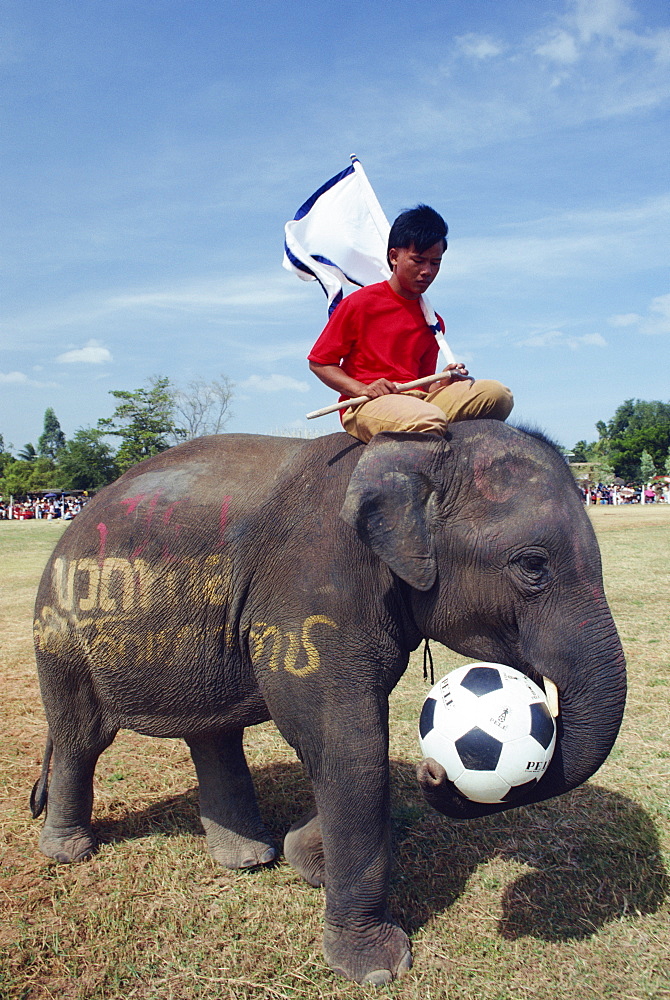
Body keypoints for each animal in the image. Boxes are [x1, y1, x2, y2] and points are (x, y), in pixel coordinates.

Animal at [30, 422, 632, 984]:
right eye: (532, 566)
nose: (434, 771)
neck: (409, 448)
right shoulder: (308, 598)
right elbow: (347, 741)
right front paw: (375, 967)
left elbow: (344, 742)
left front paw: (307, 860)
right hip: (58, 631)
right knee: (83, 737)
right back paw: (70, 852)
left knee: (212, 734)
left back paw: (249, 860)